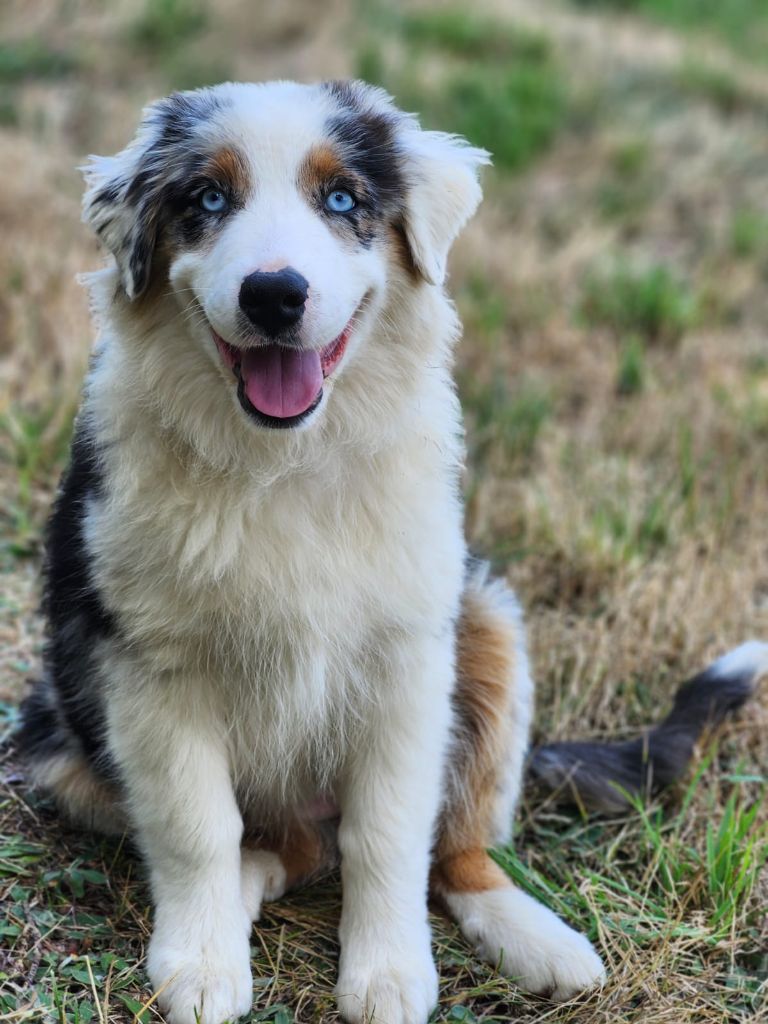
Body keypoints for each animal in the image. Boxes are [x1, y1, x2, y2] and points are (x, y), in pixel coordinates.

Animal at [19, 81, 768, 1024]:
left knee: (452, 844)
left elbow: (389, 831)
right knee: (281, 845)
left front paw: (389, 975)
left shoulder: (408, 658)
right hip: (58, 747)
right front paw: (201, 966)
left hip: (485, 621)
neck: (281, 462)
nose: (274, 295)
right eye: (207, 200)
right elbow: (198, 827)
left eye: (343, 201)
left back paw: (540, 940)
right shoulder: (149, 665)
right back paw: (253, 882)